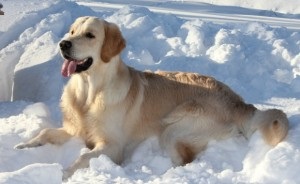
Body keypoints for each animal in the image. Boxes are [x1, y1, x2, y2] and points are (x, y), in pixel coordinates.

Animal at [15, 16, 290, 179]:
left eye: (90, 35)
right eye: (72, 31)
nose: (63, 44)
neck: (90, 92)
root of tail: (240, 102)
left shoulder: (112, 146)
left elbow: (82, 156)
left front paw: (63, 173)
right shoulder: (75, 130)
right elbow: (46, 133)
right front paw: (23, 146)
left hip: (174, 127)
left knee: (185, 159)